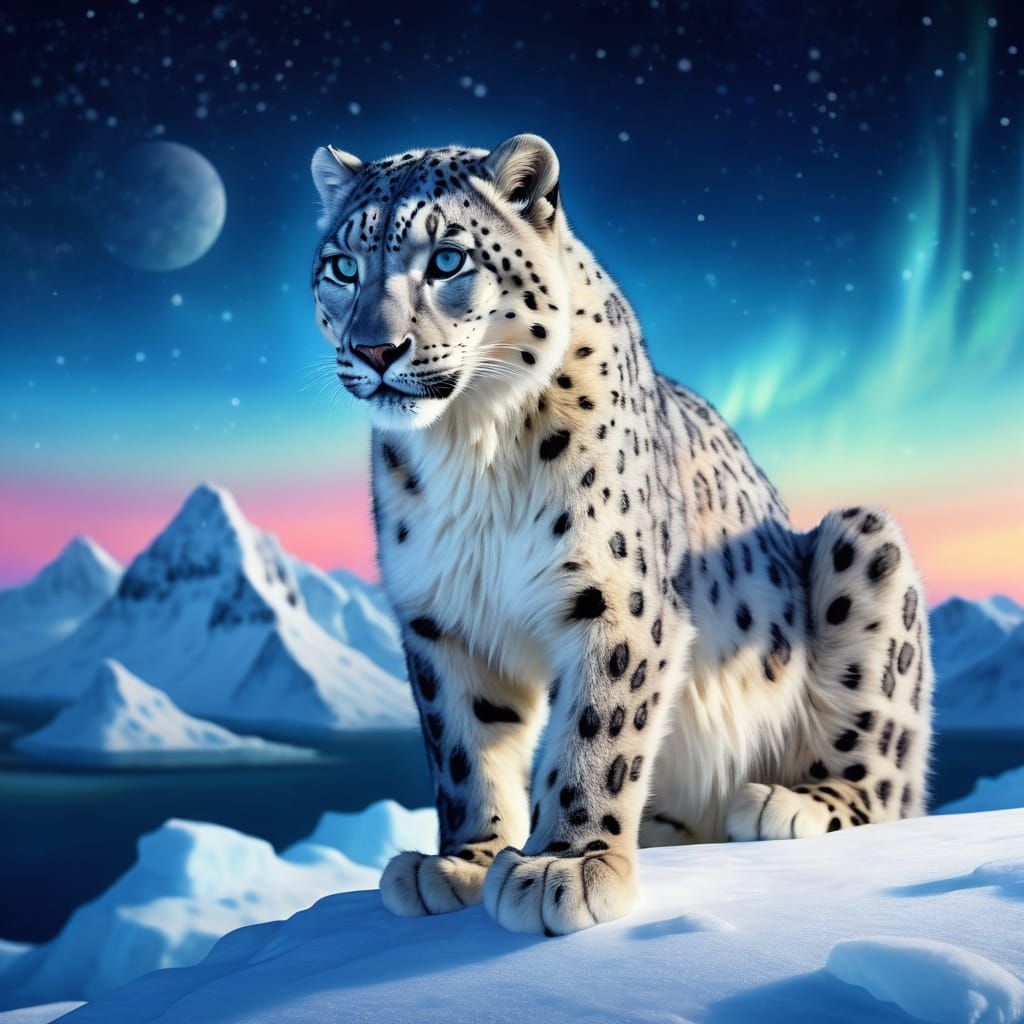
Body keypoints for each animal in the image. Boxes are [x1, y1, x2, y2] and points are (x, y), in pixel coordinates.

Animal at [309, 134, 933, 936]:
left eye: (447, 259)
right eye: (342, 267)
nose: (375, 349)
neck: (469, 447)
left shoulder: (615, 596)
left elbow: (597, 729)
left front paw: (567, 867)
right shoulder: (441, 615)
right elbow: (463, 747)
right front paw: (463, 861)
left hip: (863, 553)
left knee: (884, 779)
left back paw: (783, 803)